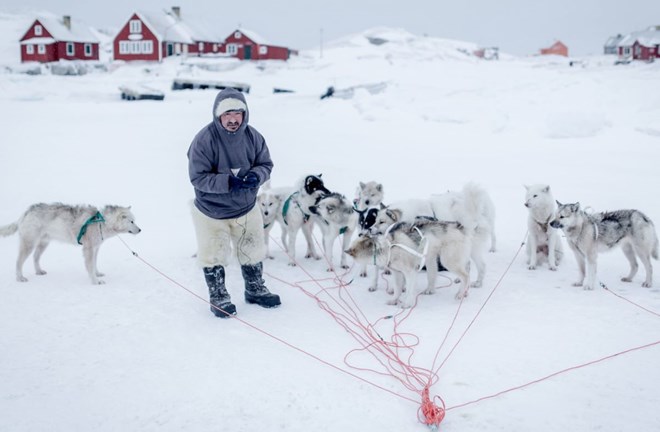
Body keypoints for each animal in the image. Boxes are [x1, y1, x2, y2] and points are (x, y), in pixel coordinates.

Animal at [0, 203, 141, 286]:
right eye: (132, 221)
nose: (140, 230)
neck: (102, 222)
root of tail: (26, 212)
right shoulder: (89, 249)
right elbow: (90, 267)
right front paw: (95, 281)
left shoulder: (96, 249)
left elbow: (94, 265)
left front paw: (97, 274)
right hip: (29, 244)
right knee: (18, 261)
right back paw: (20, 278)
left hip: (43, 244)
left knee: (35, 258)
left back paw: (39, 271)